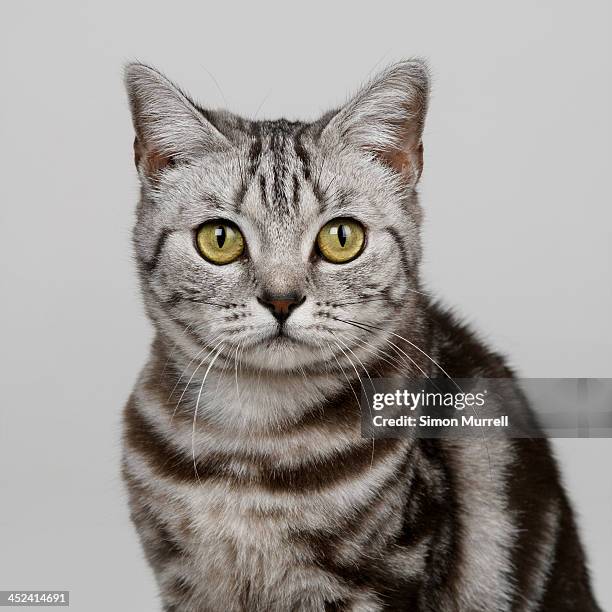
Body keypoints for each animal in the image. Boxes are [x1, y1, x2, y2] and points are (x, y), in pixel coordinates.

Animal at [122, 58, 600, 612]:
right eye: (219, 239)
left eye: (341, 238)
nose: (281, 299)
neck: (251, 444)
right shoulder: (182, 581)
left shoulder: (381, 576)